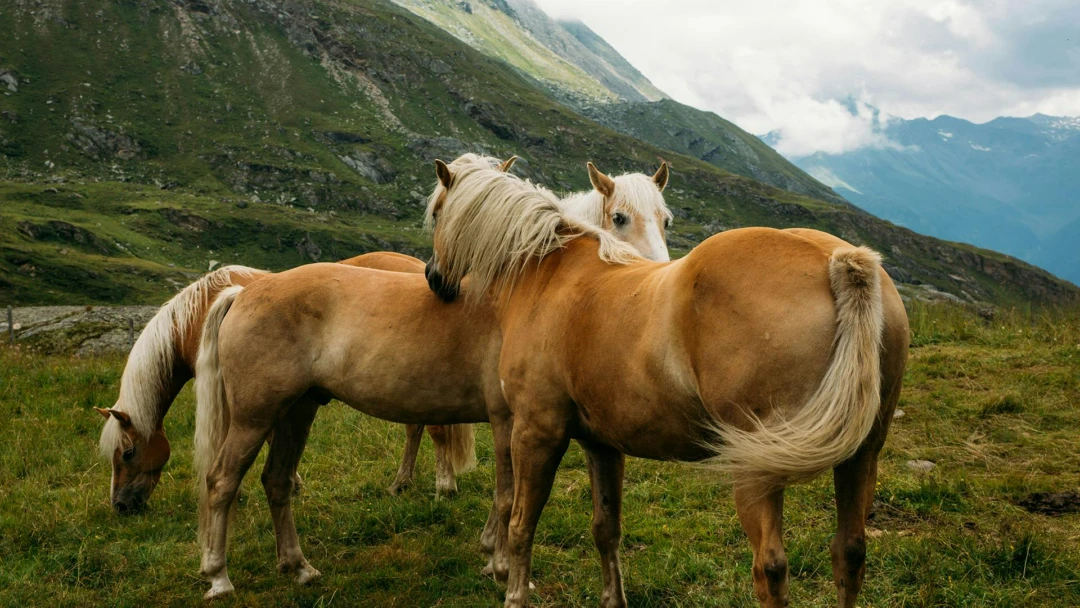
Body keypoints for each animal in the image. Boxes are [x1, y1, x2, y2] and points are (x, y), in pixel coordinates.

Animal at [188, 154, 673, 599]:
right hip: (254, 418)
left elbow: (503, 495)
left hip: (297, 411)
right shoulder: (509, 421)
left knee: (276, 481)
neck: (522, 286)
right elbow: (507, 495)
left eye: (665, 219)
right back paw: (219, 576)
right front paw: (501, 567)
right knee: (222, 481)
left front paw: (491, 555)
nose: (654, 286)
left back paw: (299, 567)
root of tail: (245, 291)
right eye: (619, 217)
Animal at [423, 154, 909, 608]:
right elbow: (606, 528)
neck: (549, 271)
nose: (434, 279)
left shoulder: (535, 431)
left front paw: (512, 589)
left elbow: (521, 522)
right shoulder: (601, 443)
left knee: (771, 569)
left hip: (758, 469)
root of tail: (837, 261)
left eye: (435, 212)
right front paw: (613, 598)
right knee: (849, 553)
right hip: (861, 455)